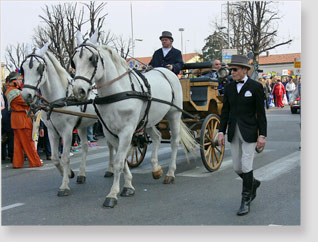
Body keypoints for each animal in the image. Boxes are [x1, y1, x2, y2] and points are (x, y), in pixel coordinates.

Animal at [20, 44, 114, 197]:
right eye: (23, 68)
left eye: (39, 68)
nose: (26, 95)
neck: (56, 101)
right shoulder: (52, 131)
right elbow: (55, 158)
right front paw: (69, 173)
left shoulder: (67, 131)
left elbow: (64, 158)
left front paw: (64, 186)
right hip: (82, 126)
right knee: (85, 147)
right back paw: (81, 174)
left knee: (110, 145)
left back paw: (110, 169)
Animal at [71, 31, 199, 207]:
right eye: (74, 61)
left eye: (92, 59)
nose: (78, 91)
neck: (117, 92)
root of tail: (166, 71)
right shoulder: (110, 132)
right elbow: (123, 159)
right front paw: (128, 186)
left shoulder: (126, 131)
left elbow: (119, 161)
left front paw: (112, 195)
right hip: (149, 119)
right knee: (157, 137)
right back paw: (156, 169)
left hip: (173, 114)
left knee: (174, 142)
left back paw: (170, 174)